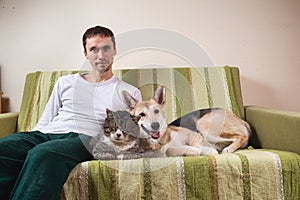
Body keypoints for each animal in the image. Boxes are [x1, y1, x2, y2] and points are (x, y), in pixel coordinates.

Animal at [122, 85, 251, 156]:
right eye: (141, 115)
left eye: (156, 111)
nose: (155, 125)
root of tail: (237, 117)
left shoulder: (195, 136)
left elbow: (198, 146)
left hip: (203, 126)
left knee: (242, 136)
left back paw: (228, 149)